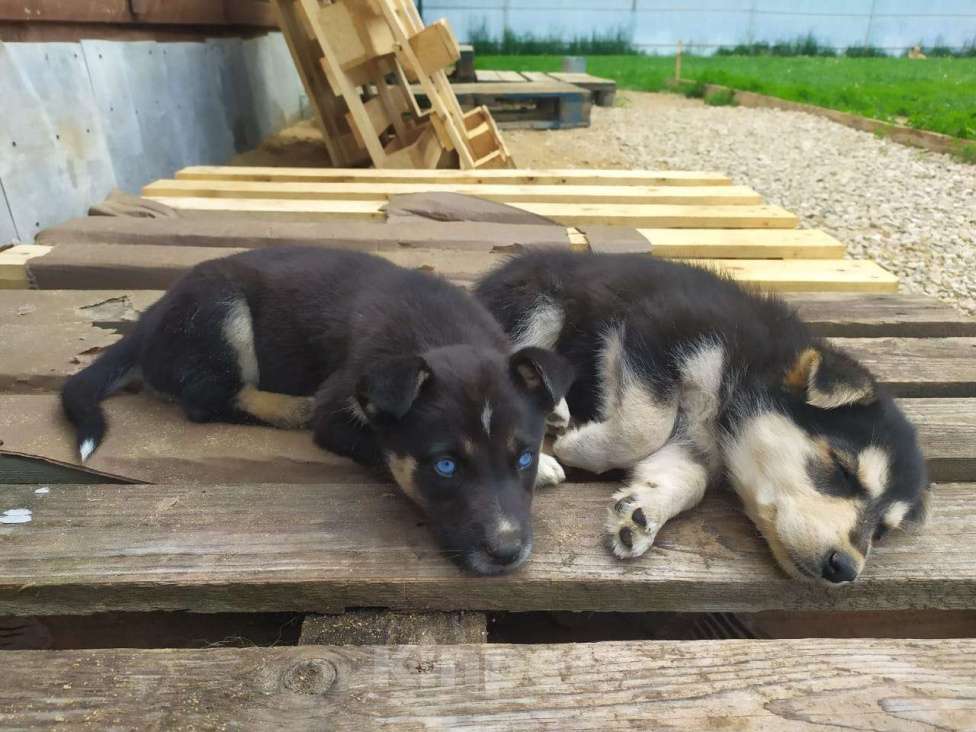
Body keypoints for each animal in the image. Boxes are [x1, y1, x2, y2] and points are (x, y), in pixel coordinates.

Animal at [61, 249, 576, 576]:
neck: (442, 334)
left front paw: (551, 429)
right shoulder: (338, 413)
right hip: (220, 306)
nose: (508, 555)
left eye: (523, 458)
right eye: (445, 466)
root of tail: (149, 318)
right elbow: (374, 442)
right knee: (206, 397)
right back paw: (290, 407)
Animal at [476, 252, 936, 584]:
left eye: (882, 532)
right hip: (536, 306)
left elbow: (687, 479)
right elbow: (645, 427)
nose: (847, 569)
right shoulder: (653, 331)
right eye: (841, 469)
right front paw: (579, 446)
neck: (749, 365)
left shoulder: (693, 446)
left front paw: (643, 510)